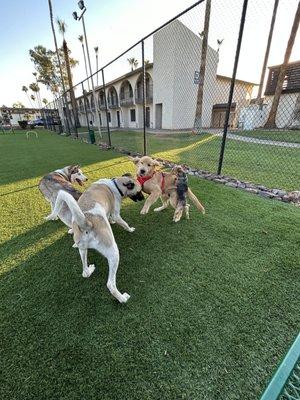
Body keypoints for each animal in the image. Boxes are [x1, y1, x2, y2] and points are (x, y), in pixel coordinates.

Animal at [45, 175, 145, 304]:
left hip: (82, 249)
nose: (143, 198)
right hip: (113, 252)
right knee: (110, 284)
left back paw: (89, 269)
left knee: (85, 272)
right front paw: (130, 229)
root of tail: (86, 223)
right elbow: (123, 222)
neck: (115, 184)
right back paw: (122, 298)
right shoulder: (116, 213)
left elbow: (110, 217)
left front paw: (111, 221)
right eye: (139, 191)